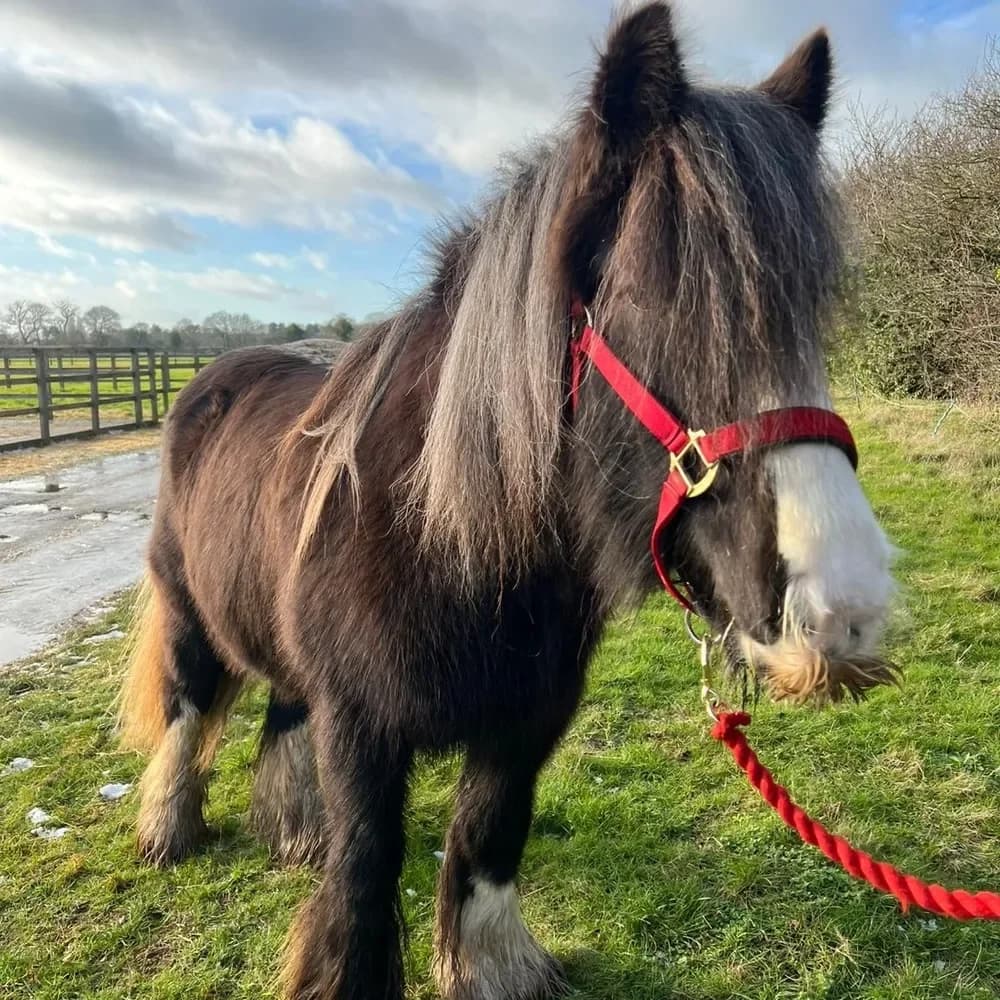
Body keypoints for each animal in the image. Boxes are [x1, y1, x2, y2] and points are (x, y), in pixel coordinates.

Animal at [119, 4, 897, 997]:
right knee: (187, 709)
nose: (846, 612)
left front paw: (490, 969)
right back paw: (167, 832)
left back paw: (291, 833)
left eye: (810, 315)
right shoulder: (361, 731)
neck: (452, 541)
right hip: (186, 607)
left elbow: (487, 843)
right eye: (653, 304)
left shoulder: (526, 722)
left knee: (281, 707)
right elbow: (365, 874)